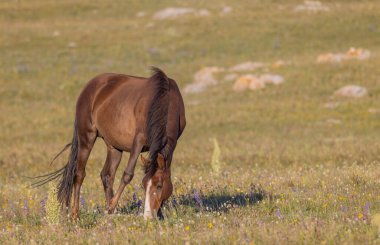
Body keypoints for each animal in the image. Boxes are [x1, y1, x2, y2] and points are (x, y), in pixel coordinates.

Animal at [33, 67, 185, 220]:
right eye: (143, 185)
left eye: (159, 186)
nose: (148, 216)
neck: (164, 100)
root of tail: (90, 86)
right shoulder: (138, 140)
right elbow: (127, 174)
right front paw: (111, 206)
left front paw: (160, 214)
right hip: (86, 137)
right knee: (79, 174)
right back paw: (76, 214)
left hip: (114, 147)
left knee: (107, 175)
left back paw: (111, 214)